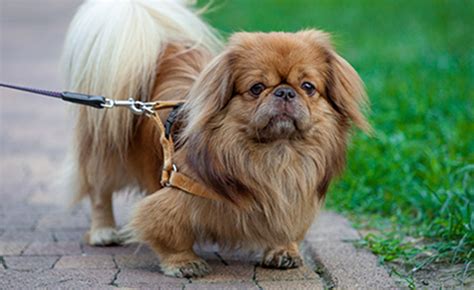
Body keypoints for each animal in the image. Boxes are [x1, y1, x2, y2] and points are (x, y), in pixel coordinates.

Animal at [61, 0, 370, 278]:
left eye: (308, 86)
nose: (284, 92)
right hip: (105, 154)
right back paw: (103, 231)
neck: (275, 155)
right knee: (99, 192)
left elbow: (288, 227)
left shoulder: (292, 201)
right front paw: (184, 263)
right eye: (256, 88)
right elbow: (168, 233)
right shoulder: (169, 201)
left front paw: (283, 250)